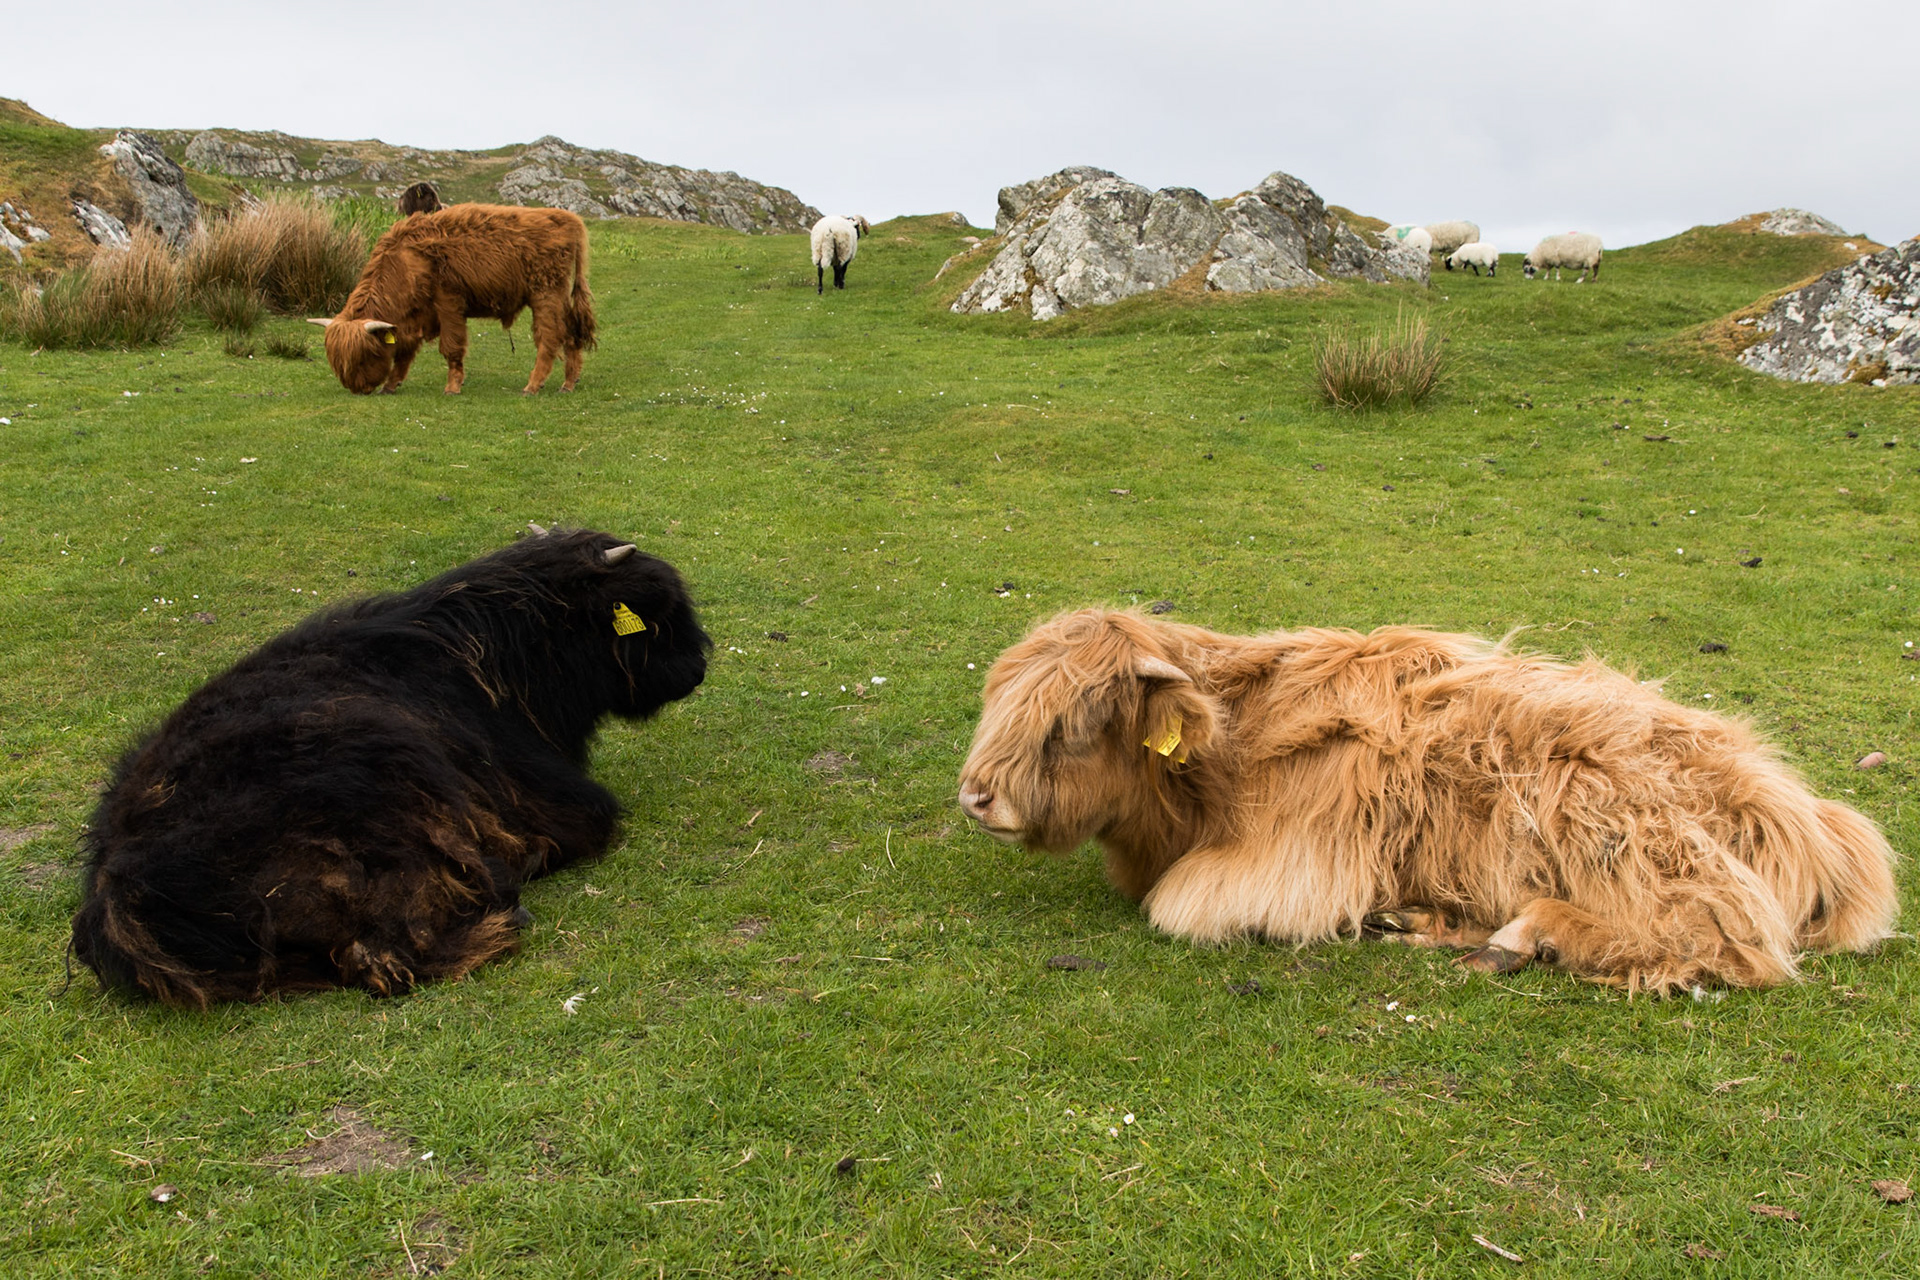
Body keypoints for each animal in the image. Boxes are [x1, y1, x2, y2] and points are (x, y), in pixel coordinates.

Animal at [309, 204, 596, 396]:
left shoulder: (448, 302)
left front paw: (453, 386)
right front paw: (391, 385)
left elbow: (451, 347)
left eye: (365, 355)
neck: (404, 263)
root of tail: (567, 219)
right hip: (560, 297)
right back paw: (568, 383)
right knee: (571, 334)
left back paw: (533, 385)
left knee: (550, 337)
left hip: (545, 294)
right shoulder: (412, 318)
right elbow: (404, 352)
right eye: (338, 362)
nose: (358, 388)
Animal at [957, 609, 1898, 994]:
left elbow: (1176, 907)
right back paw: (1423, 920)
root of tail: (1808, 811)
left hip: (1621, 821)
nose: (975, 797)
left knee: (1725, 941)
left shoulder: (1293, 869)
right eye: (1001, 699)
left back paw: (1528, 935)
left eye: (1073, 722)